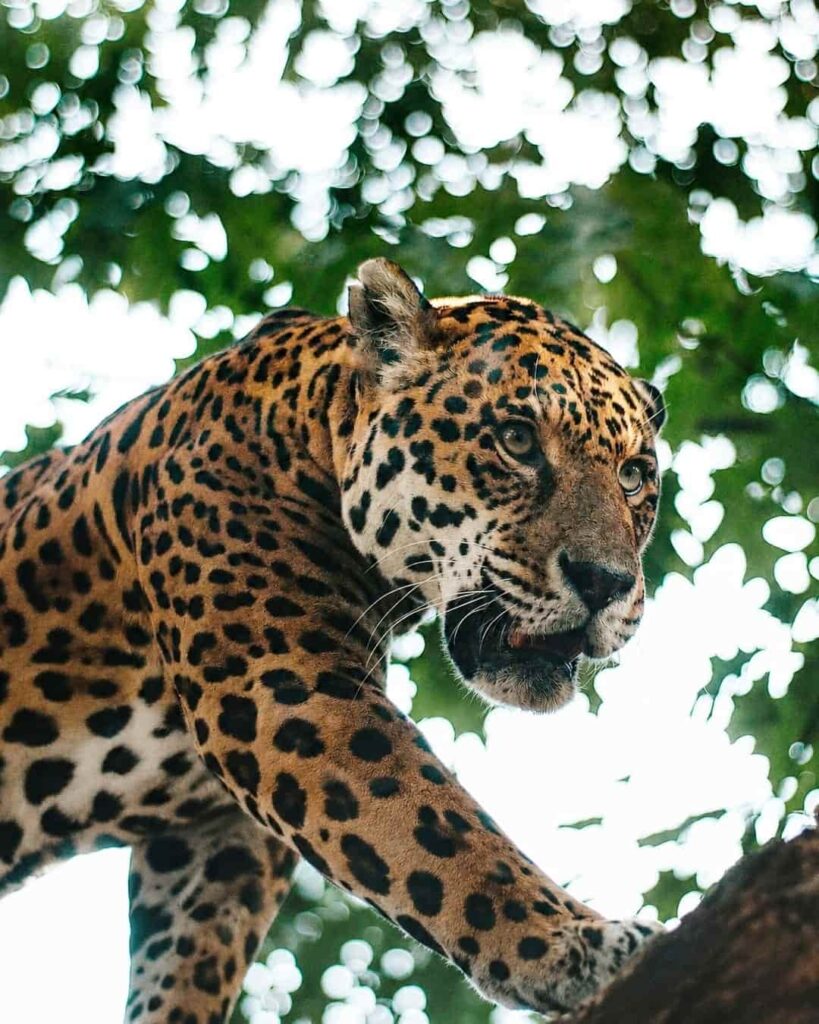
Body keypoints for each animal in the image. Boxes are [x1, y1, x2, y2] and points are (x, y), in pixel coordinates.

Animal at [0, 258, 666, 1021]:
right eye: (518, 439)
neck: (308, 432)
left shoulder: (217, 835)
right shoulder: (287, 688)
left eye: (634, 475)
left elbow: (191, 956)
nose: (606, 582)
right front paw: (570, 944)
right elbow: (441, 835)